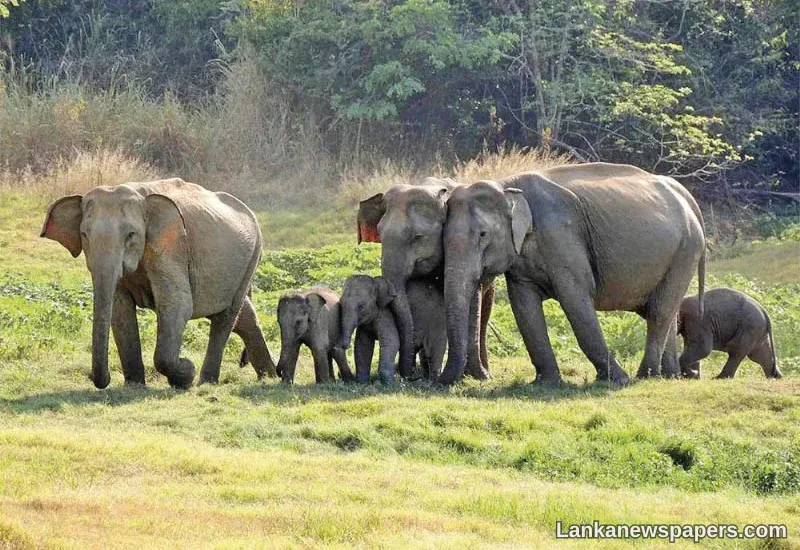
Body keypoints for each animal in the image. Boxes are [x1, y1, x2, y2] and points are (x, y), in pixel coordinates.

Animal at [40, 178, 277, 389]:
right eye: (84, 234)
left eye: (131, 235)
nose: (103, 379)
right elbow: (120, 311)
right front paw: (134, 386)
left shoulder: (171, 248)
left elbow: (178, 304)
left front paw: (185, 372)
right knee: (243, 315)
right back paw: (270, 376)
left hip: (253, 257)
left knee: (226, 317)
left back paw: (206, 382)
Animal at [439, 163, 706, 386]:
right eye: (443, 237)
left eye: (483, 234)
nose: (441, 382)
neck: (507, 183)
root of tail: (687, 196)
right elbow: (524, 308)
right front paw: (546, 383)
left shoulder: (563, 237)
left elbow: (576, 299)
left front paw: (617, 380)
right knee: (666, 310)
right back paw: (669, 376)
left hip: (686, 250)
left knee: (660, 310)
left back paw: (644, 377)